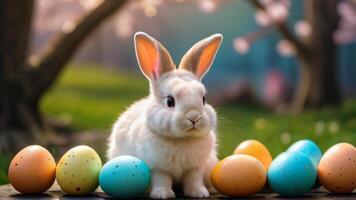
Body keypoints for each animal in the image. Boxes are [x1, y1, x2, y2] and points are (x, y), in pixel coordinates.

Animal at [108, 32, 222, 199]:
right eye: (170, 101)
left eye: (203, 99)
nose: (194, 117)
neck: (182, 140)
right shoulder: (158, 167)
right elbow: (162, 180)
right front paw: (163, 194)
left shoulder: (195, 168)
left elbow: (193, 179)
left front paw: (199, 193)